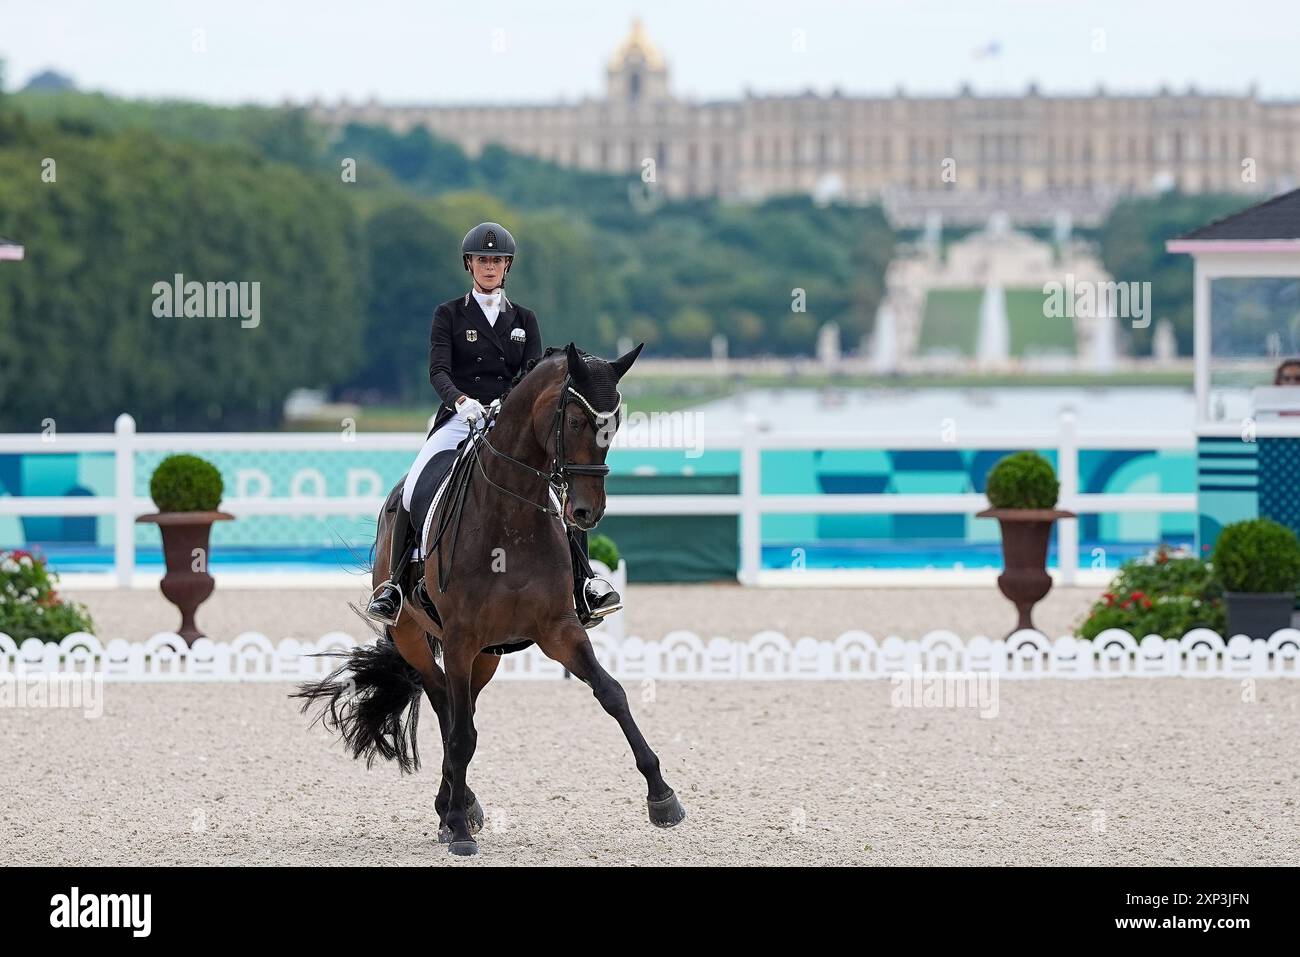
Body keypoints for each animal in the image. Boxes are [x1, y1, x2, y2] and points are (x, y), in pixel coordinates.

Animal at [293, 343, 681, 852]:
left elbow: (611, 694)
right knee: (446, 704)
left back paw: (454, 802)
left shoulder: (559, 629)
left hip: (489, 654)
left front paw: (662, 796)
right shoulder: (459, 637)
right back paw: (452, 810)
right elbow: (460, 734)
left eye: (612, 424)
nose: (585, 512)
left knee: (463, 709)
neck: (510, 517)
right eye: (576, 421)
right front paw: (458, 828)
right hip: (416, 636)